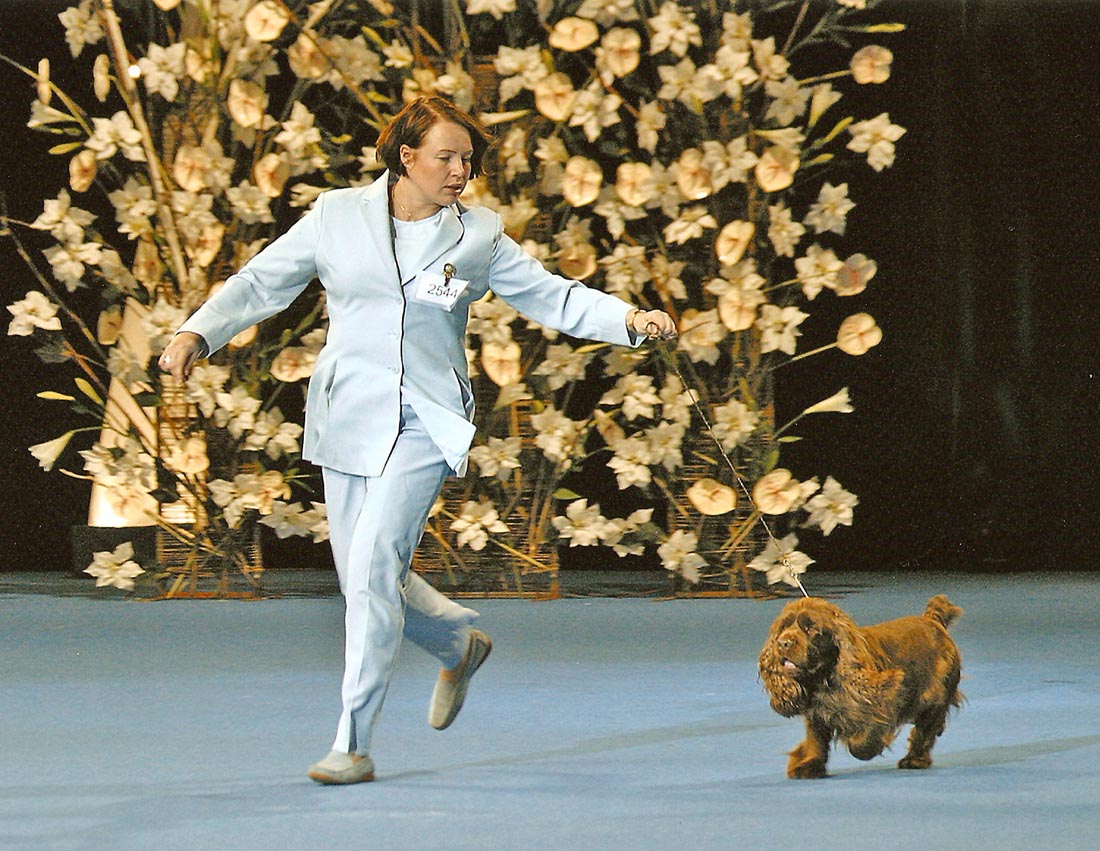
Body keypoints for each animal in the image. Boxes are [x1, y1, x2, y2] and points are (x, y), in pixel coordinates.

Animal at [758, 594, 963, 778]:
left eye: (811, 628)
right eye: (783, 627)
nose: (783, 643)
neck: (823, 679)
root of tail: (932, 620)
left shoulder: (885, 695)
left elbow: (862, 740)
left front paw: (866, 746)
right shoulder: (816, 713)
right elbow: (816, 740)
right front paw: (808, 763)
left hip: (935, 694)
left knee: (926, 729)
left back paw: (915, 759)